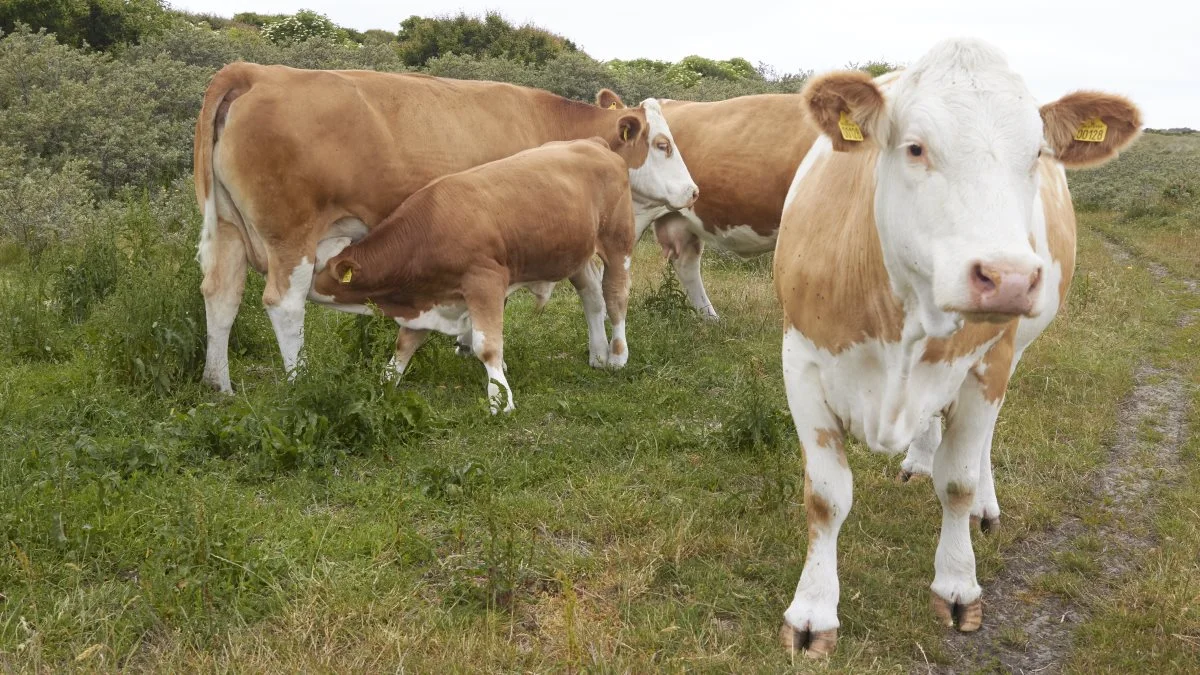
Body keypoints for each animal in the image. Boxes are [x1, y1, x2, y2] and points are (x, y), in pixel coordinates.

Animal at [314, 138, 643, 413]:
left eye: (313, 265)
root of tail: (593, 142)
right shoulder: (429, 298)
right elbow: (404, 344)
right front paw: (383, 385)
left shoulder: (485, 282)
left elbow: (487, 347)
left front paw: (500, 399)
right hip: (575, 255)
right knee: (592, 297)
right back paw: (597, 354)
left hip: (618, 243)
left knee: (615, 298)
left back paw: (617, 357)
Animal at [772, 39, 1137, 653]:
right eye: (915, 147)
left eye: (1035, 154)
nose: (1009, 277)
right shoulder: (801, 359)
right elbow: (825, 496)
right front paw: (812, 613)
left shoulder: (989, 363)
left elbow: (959, 481)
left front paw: (958, 585)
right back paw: (919, 457)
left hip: (1009, 355)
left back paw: (982, 504)